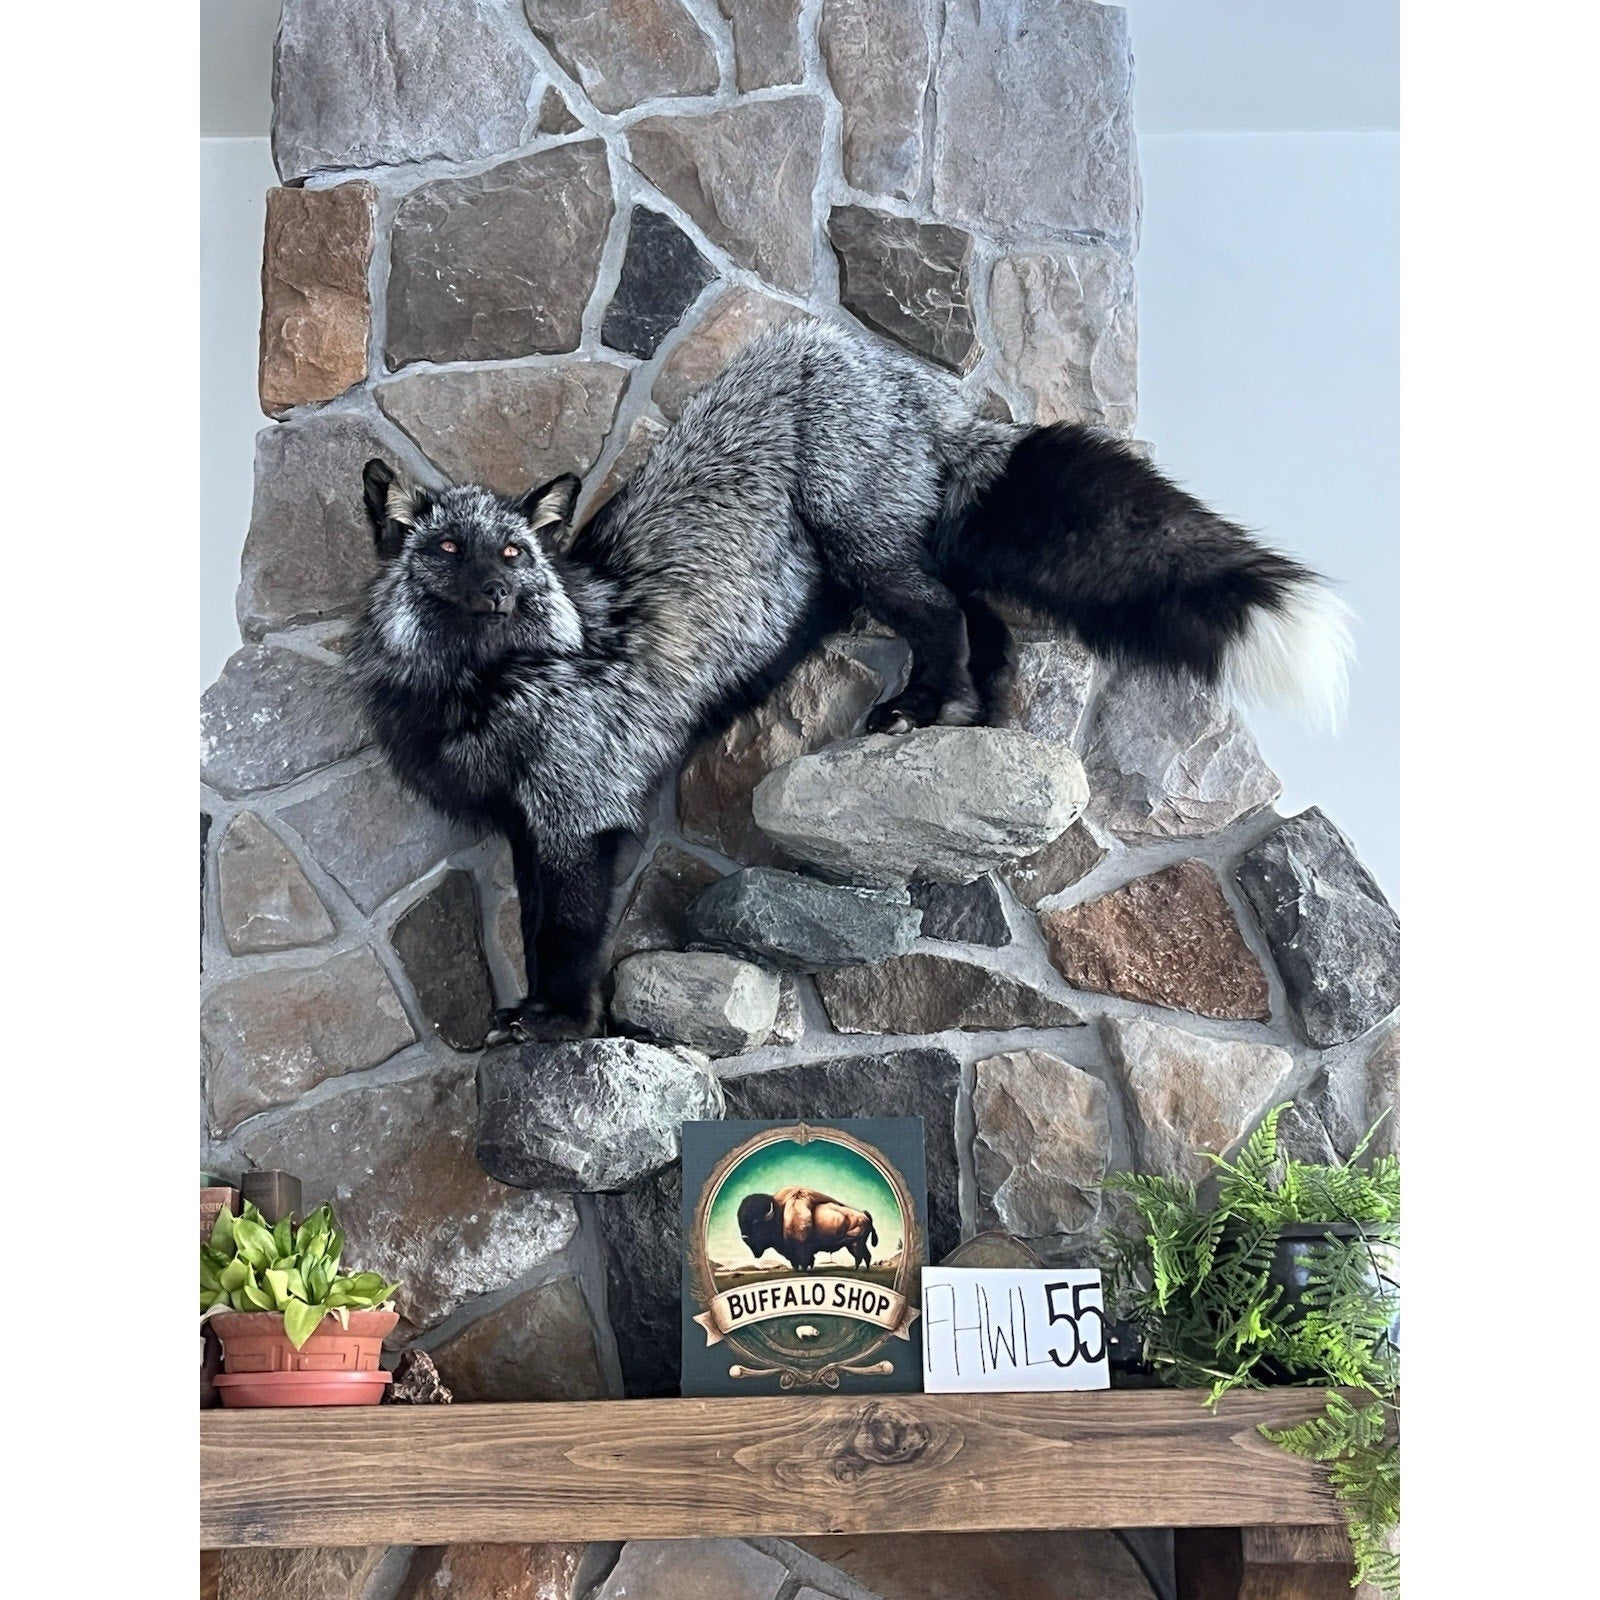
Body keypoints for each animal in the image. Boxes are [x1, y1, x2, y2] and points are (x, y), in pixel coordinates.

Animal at [351, 320, 1352, 1044]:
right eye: (449, 548)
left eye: (513, 553)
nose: (499, 591)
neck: (483, 695)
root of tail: (880, 363)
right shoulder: (521, 824)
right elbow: (531, 929)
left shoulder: (578, 811)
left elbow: (564, 937)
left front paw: (558, 1022)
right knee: (981, 624)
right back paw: (966, 713)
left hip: (863, 547)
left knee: (945, 616)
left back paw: (924, 707)